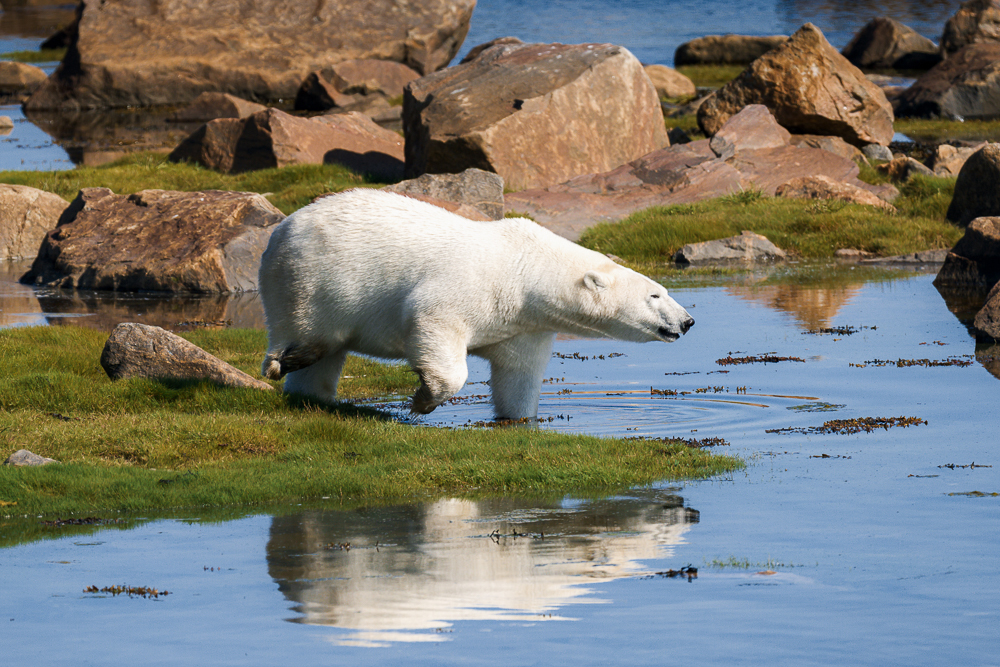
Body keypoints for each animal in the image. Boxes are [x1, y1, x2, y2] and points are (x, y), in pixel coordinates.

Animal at [259, 188, 694, 419]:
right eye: (656, 294)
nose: (688, 321)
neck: (524, 271)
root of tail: (286, 223)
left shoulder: (524, 324)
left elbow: (518, 375)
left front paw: (517, 416)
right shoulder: (463, 290)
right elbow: (434, 325)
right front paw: (422, 401)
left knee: (321, 366)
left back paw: (308, 393)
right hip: (308, 277)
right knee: (307, 330)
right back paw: (287, 359)